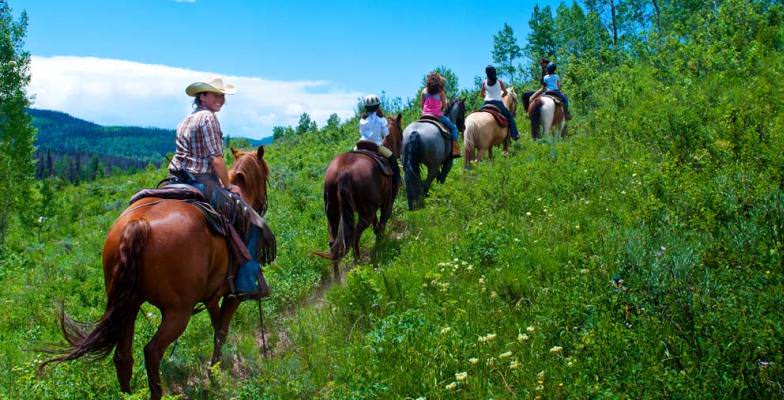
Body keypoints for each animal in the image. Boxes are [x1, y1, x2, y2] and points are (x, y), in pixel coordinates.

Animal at [42, 147, 278, 400]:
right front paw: (215, 374)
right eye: (265, 175)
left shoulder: (212, 296)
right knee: (152, 351)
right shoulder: (233, 296)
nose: (263, 205)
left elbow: (217, 329)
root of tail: (138, 224)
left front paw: (217, 368)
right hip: (177, 312)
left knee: (123, 357)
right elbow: (221, 330)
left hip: (128, 305)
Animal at [316, 112, 404, 276]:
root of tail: (344, 171)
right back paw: (358, 263)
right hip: (365, 214)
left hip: (333, 214)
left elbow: (377, 225)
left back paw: (337, 277)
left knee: (333, 243)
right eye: (401, 133)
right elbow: (382, 221)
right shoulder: (387, 202)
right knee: (354, 236)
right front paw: (381, 244)